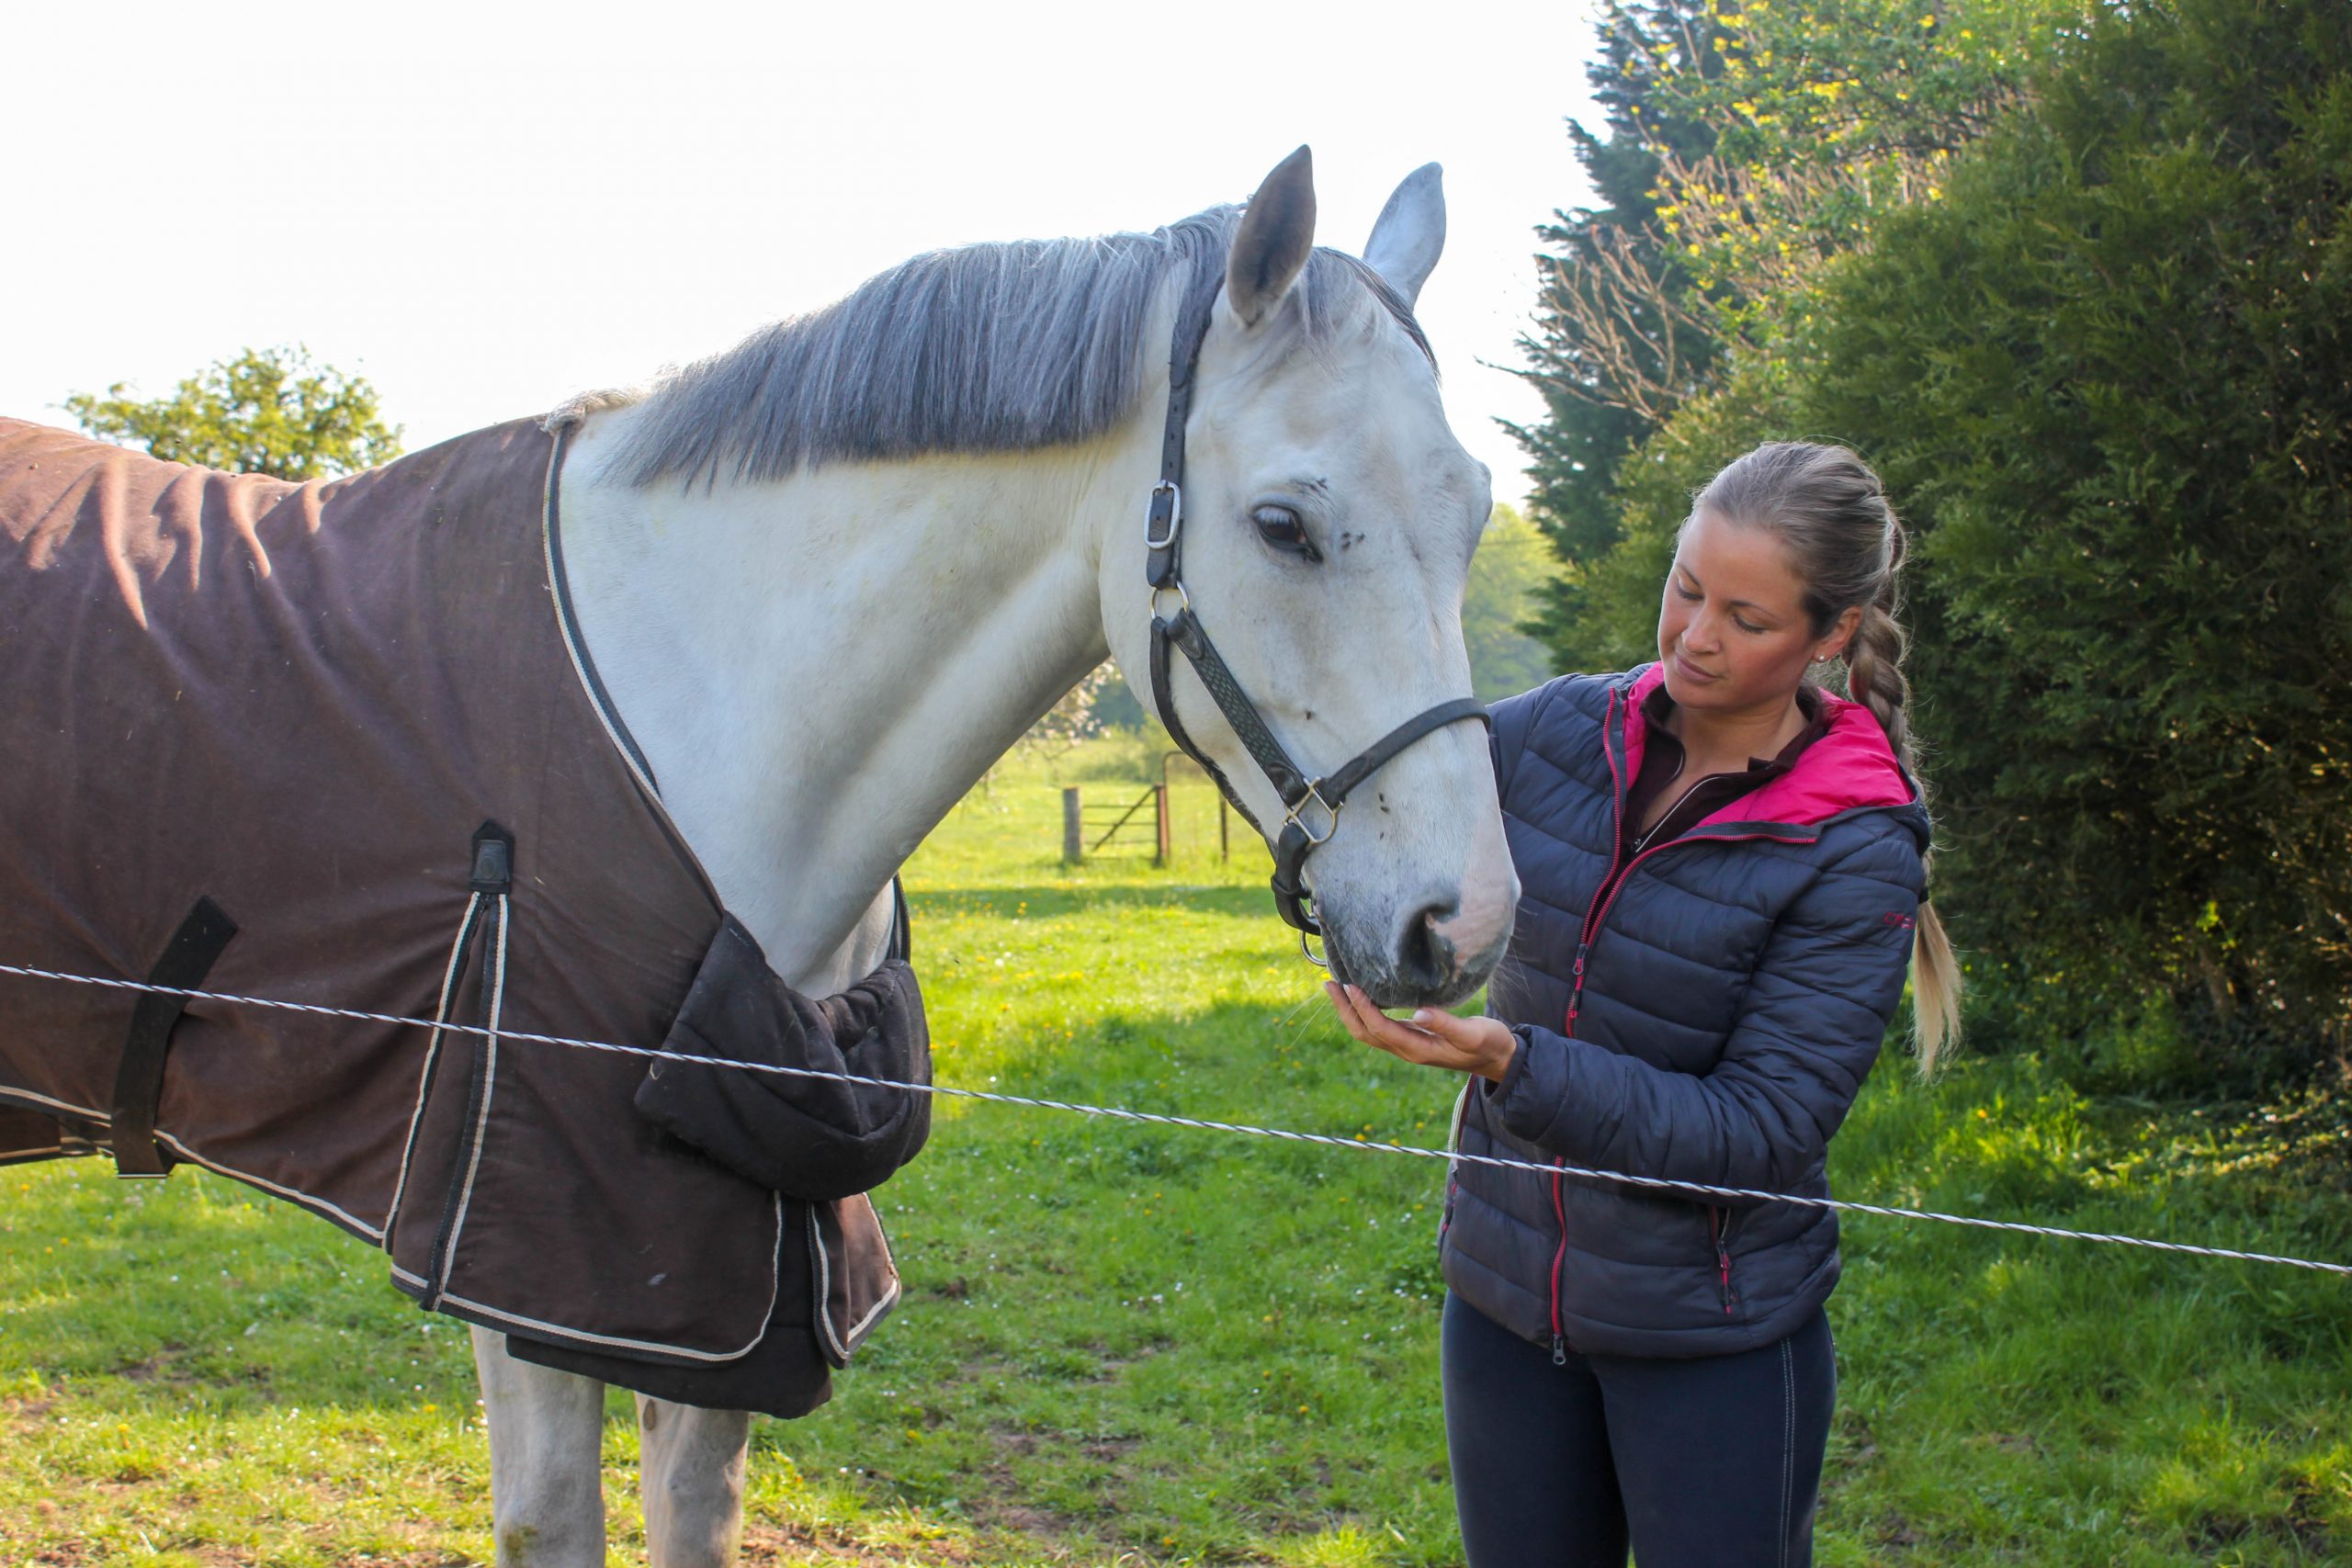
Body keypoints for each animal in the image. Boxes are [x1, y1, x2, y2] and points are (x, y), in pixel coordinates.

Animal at [481, 143, 1505, 1561]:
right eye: (1284, 525)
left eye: (1477, 515)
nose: (1466, 924)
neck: (698, 704)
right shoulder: (524, 1268)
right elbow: (553, 1516)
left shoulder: (733, 1263)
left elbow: (695, 1503)